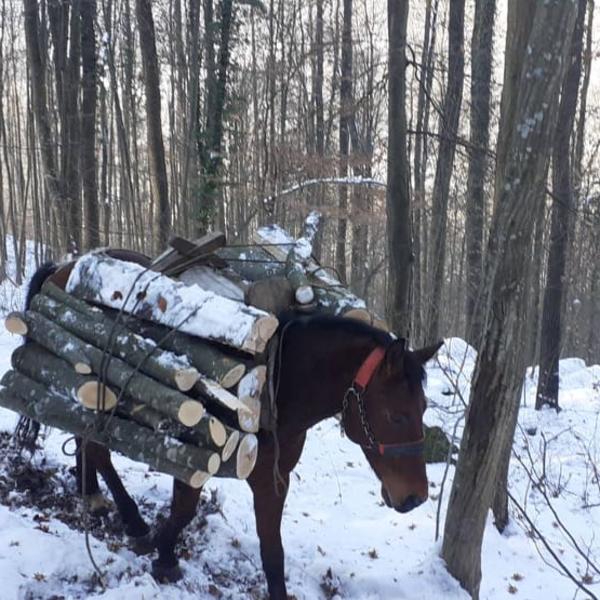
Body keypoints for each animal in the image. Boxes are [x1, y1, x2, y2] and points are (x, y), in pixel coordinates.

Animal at [15, 252, 442, 600]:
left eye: (422, 408)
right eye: (396, 415)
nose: (415, 498)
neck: (275, 383)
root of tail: (67, 265)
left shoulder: (273, 477)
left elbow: (272, 549)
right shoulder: (189, 452)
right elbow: (183, 512)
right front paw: (162, 554)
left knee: (85, 440)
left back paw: (91, 494)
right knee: (95, 446)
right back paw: (132, 519)